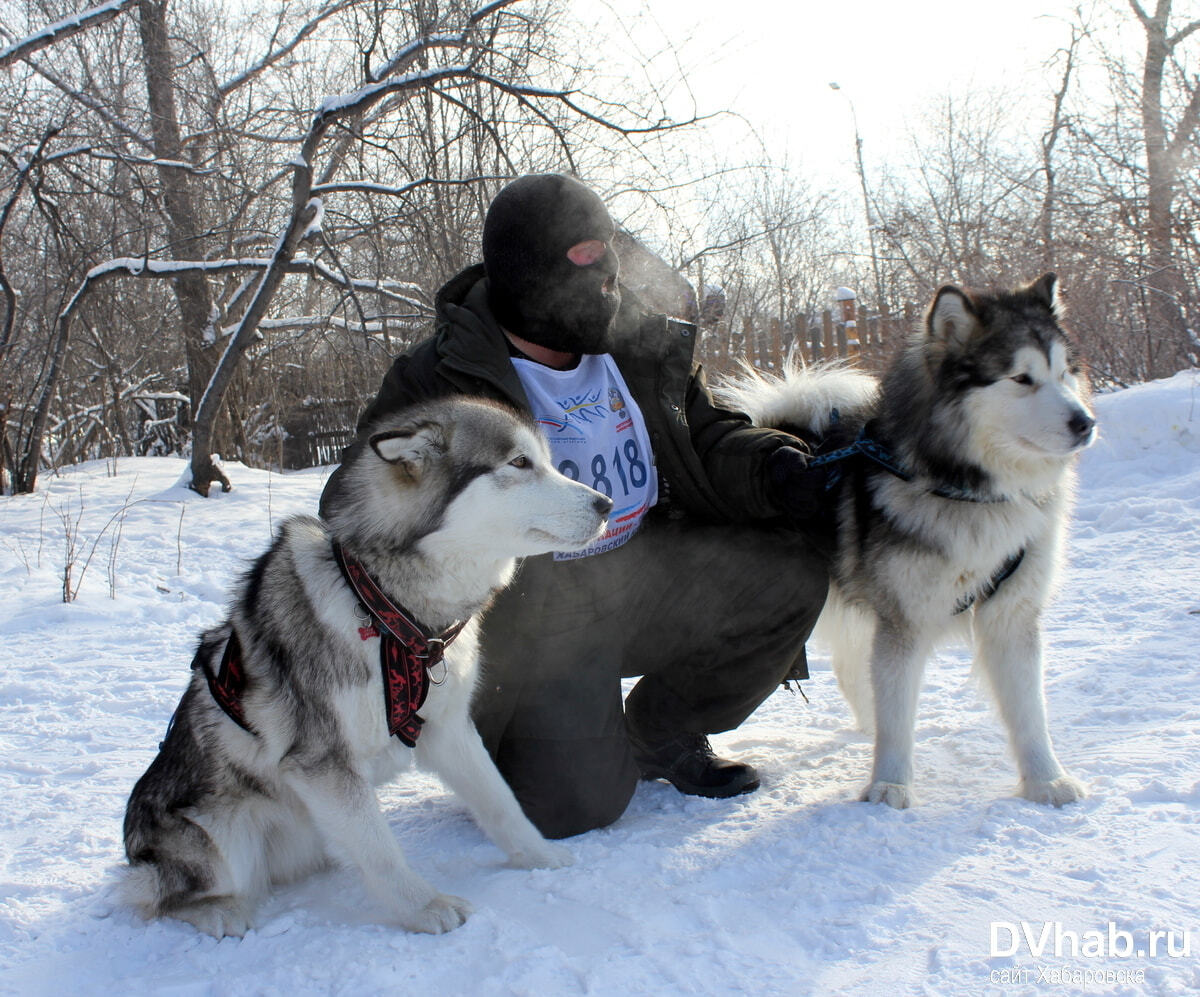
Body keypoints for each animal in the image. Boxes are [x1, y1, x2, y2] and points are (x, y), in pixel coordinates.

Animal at [123, 395, 614, 935]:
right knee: (161, 897)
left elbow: (500, 801)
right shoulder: (323, 761)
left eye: (545, 460)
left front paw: (541, 857)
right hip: (223, 837)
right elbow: (381, 852)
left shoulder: (449, 729)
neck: (386, 609)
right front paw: (425, 907)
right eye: (520, 463)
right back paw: (221, 912)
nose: (606, 505)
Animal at [720, 273, 1099, 811]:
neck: (968, 490)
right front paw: (890, 784)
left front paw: (1047, 780)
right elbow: (899, 713)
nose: (1085, 423)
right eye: (1021, 379)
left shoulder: (1012, 614)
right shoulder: (905, 619)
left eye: (1064, 373)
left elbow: (1030, 712)